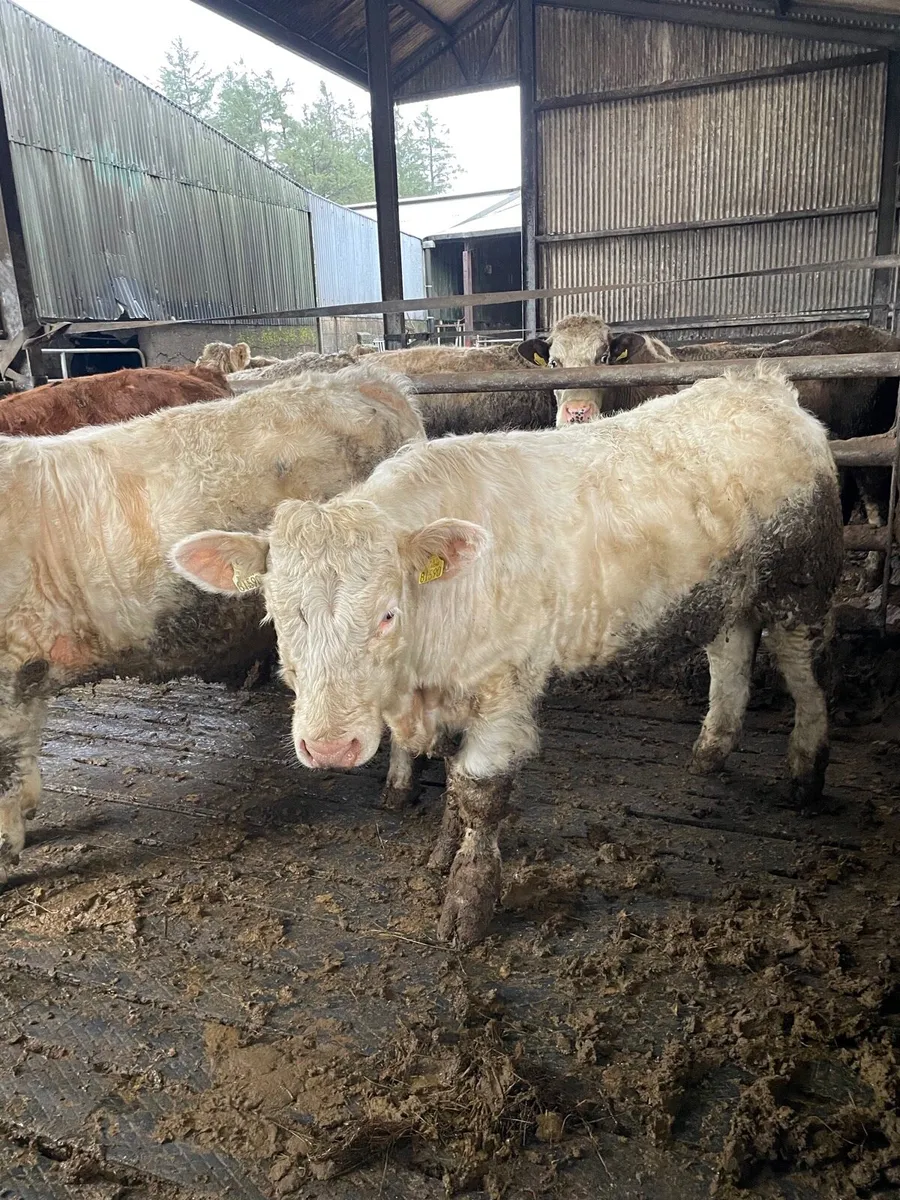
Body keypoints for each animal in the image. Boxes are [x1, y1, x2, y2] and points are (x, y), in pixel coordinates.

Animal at [172, 366, 843, 947]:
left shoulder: (502, 689)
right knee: (730, 659)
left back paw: (806, 771)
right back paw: (711, 749)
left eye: (387, 614)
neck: (426, 668)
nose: (330, 748)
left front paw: (469, 900)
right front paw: (443, 852)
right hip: (727, 594)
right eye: (280, 616)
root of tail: (759, 383)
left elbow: (479, 793)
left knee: (805, 673)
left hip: (801, 583)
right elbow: (451, 782)